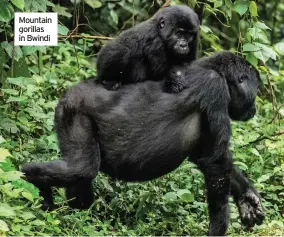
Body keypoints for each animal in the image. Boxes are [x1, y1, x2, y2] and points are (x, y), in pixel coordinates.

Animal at [23, 51, 266, 235]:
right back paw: (29, 177)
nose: (255, 108)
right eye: (255, 90)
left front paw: (247, 197)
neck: (218, 71)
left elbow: (207, 159)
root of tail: (68, 92)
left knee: (80, 178)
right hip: (74, 110)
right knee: (81, 168)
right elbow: (215, 162)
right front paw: (219, 227)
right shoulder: (215, 89)